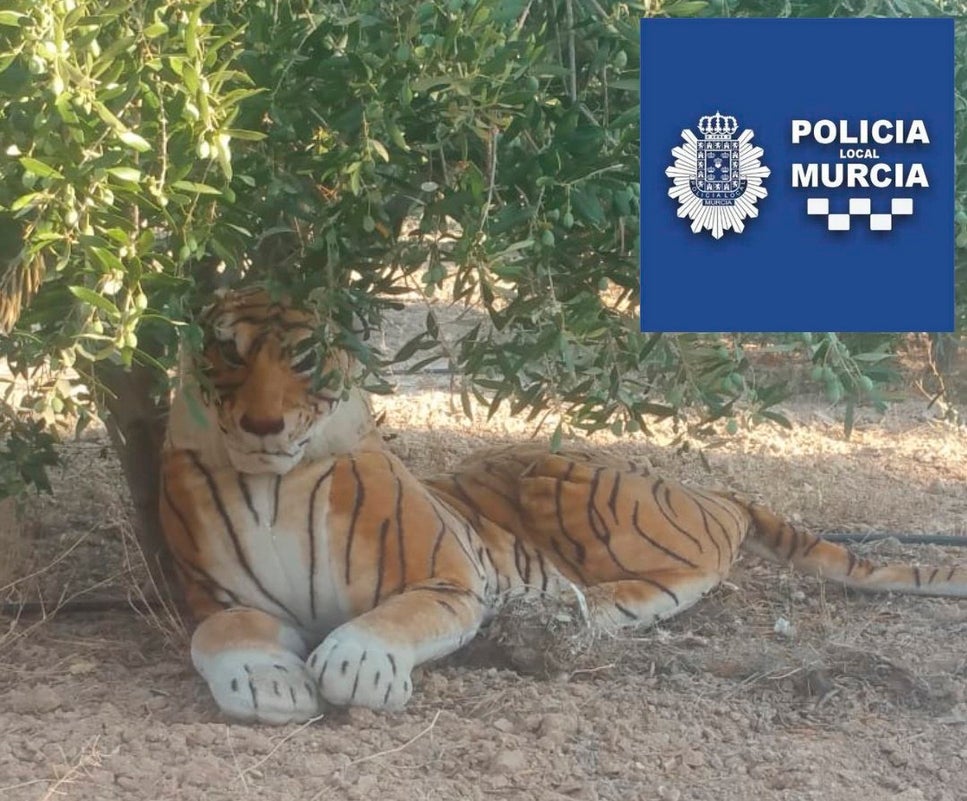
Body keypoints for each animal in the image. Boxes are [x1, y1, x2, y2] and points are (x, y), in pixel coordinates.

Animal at [160, 286, 967, 724]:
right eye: (228, 352)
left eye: (302, 358)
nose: (262, 423)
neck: (275, 482)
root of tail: (702, 489)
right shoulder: (216, 598)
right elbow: (223, 633)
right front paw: (265, 680)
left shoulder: (447, 576)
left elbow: (394, 617)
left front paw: (358, 663)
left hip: (572, 484)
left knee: (692, 568)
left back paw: (575, 608)